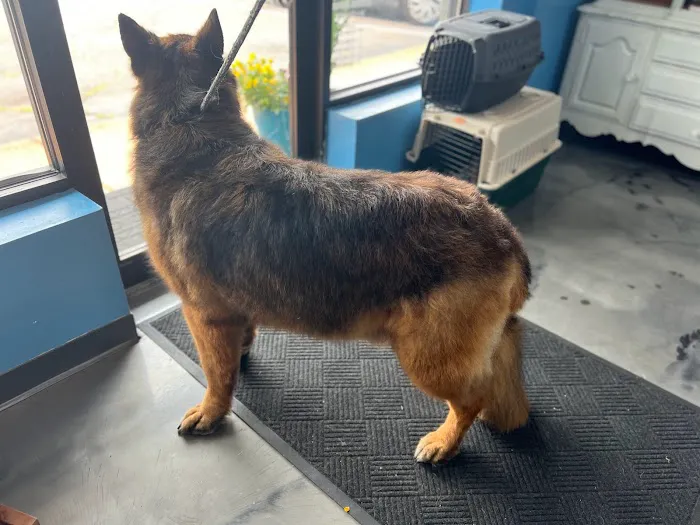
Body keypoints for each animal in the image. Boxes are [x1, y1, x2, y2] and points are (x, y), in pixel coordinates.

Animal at [118, 9, 531, 463]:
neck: (190, 121)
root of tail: (501, 228)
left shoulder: (204, 314)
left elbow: (216, 375)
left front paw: (213, 411)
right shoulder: (232, 310)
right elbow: (238, 346)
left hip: (428, 358)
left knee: (471, 399)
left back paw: (444, 440)